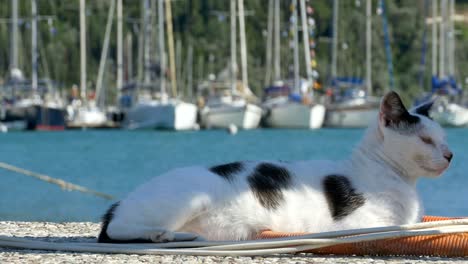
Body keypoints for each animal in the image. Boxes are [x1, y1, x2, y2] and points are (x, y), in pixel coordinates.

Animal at [98, 91, 454, 243]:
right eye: (425, 140)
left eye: (443, 138)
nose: (450, 154)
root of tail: (120, 202)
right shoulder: (359, 223)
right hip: (189, 198)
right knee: (115, 230)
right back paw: (160, 234)